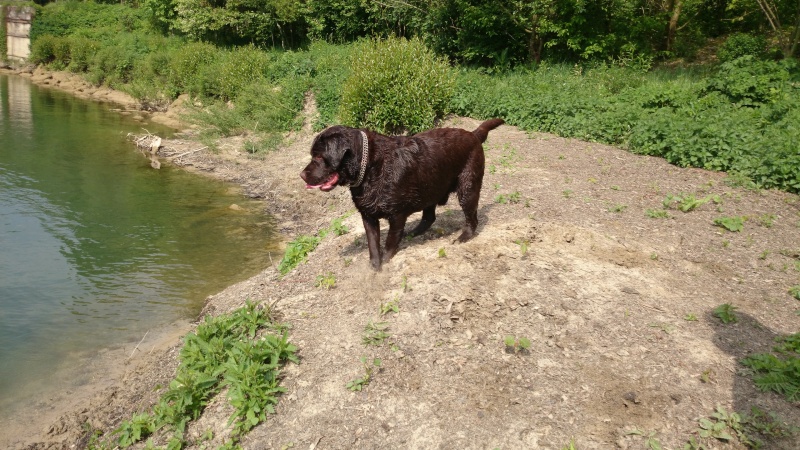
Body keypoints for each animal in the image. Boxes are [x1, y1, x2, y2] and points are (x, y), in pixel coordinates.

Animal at [304, 118, 504, 268]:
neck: (369, 166)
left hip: (467, 188)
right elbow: (373, 244)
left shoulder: (397, 215)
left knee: (472, 218)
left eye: (319, 157)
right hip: (429, 188)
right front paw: (375, 267)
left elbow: (390, 241)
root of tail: (473, 134)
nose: (302, 175)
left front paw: (385, 261)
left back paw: (463, 237)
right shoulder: (368, 216)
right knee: (429, 217)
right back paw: (414, 232)